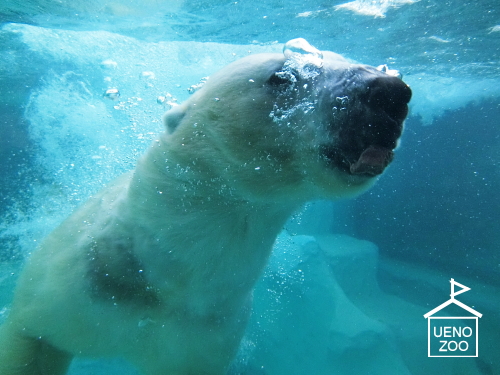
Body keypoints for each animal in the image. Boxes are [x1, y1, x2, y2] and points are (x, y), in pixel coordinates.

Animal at [0, 39, 410, 374]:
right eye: (281, 76)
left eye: (347, 59)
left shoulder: (206, 332)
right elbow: (33, 339)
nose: (391, 91)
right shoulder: (79, 286)